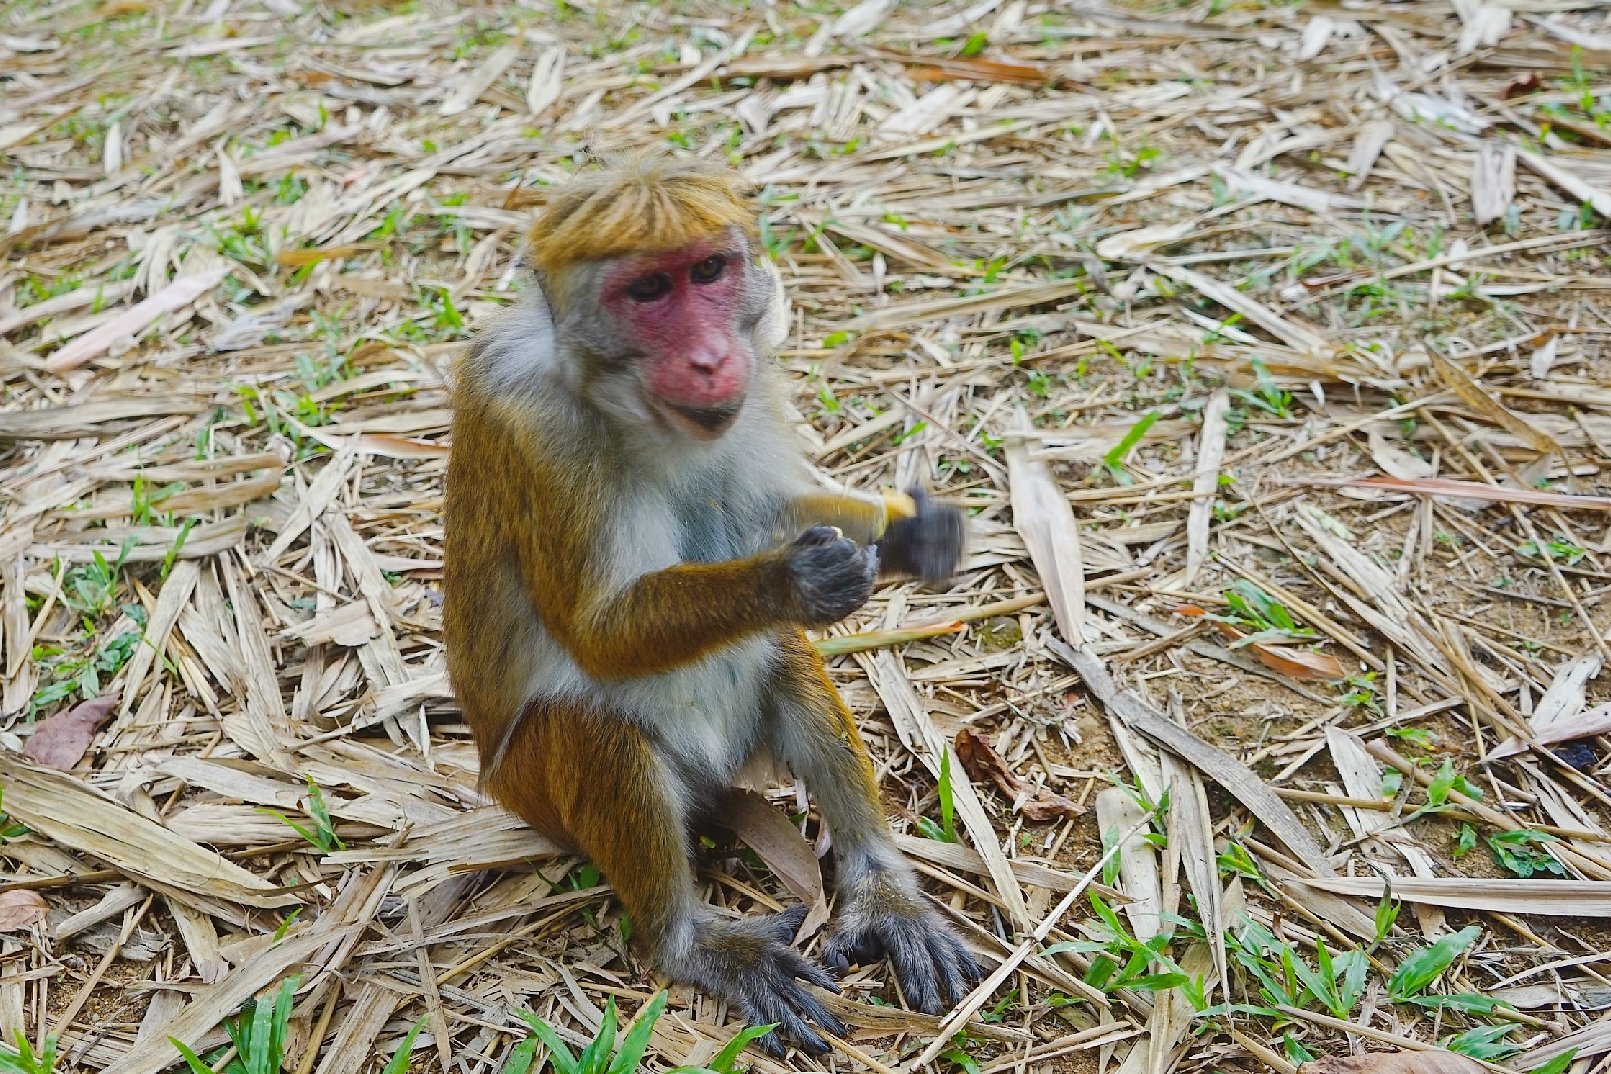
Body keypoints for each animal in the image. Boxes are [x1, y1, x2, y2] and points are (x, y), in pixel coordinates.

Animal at [441, 155, 979, 1056]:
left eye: (708, 272)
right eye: (647, 290)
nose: (707, 356)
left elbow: (771, 507)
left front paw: (908, 533)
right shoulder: (539, 434)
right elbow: (597, 635)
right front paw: (789, 582)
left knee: (784, 656)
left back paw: (880, 886)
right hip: (536, 792)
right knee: (590, 727)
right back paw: (688, 943)